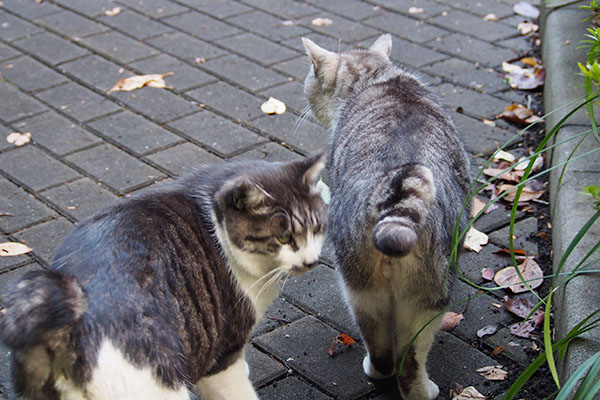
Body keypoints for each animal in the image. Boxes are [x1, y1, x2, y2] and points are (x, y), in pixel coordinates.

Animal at [302, 35, 472, 400]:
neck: (376, 78)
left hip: (361, 286)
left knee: (384, 347)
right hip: (429, 292)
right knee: (407, 359)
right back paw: (421, 388)